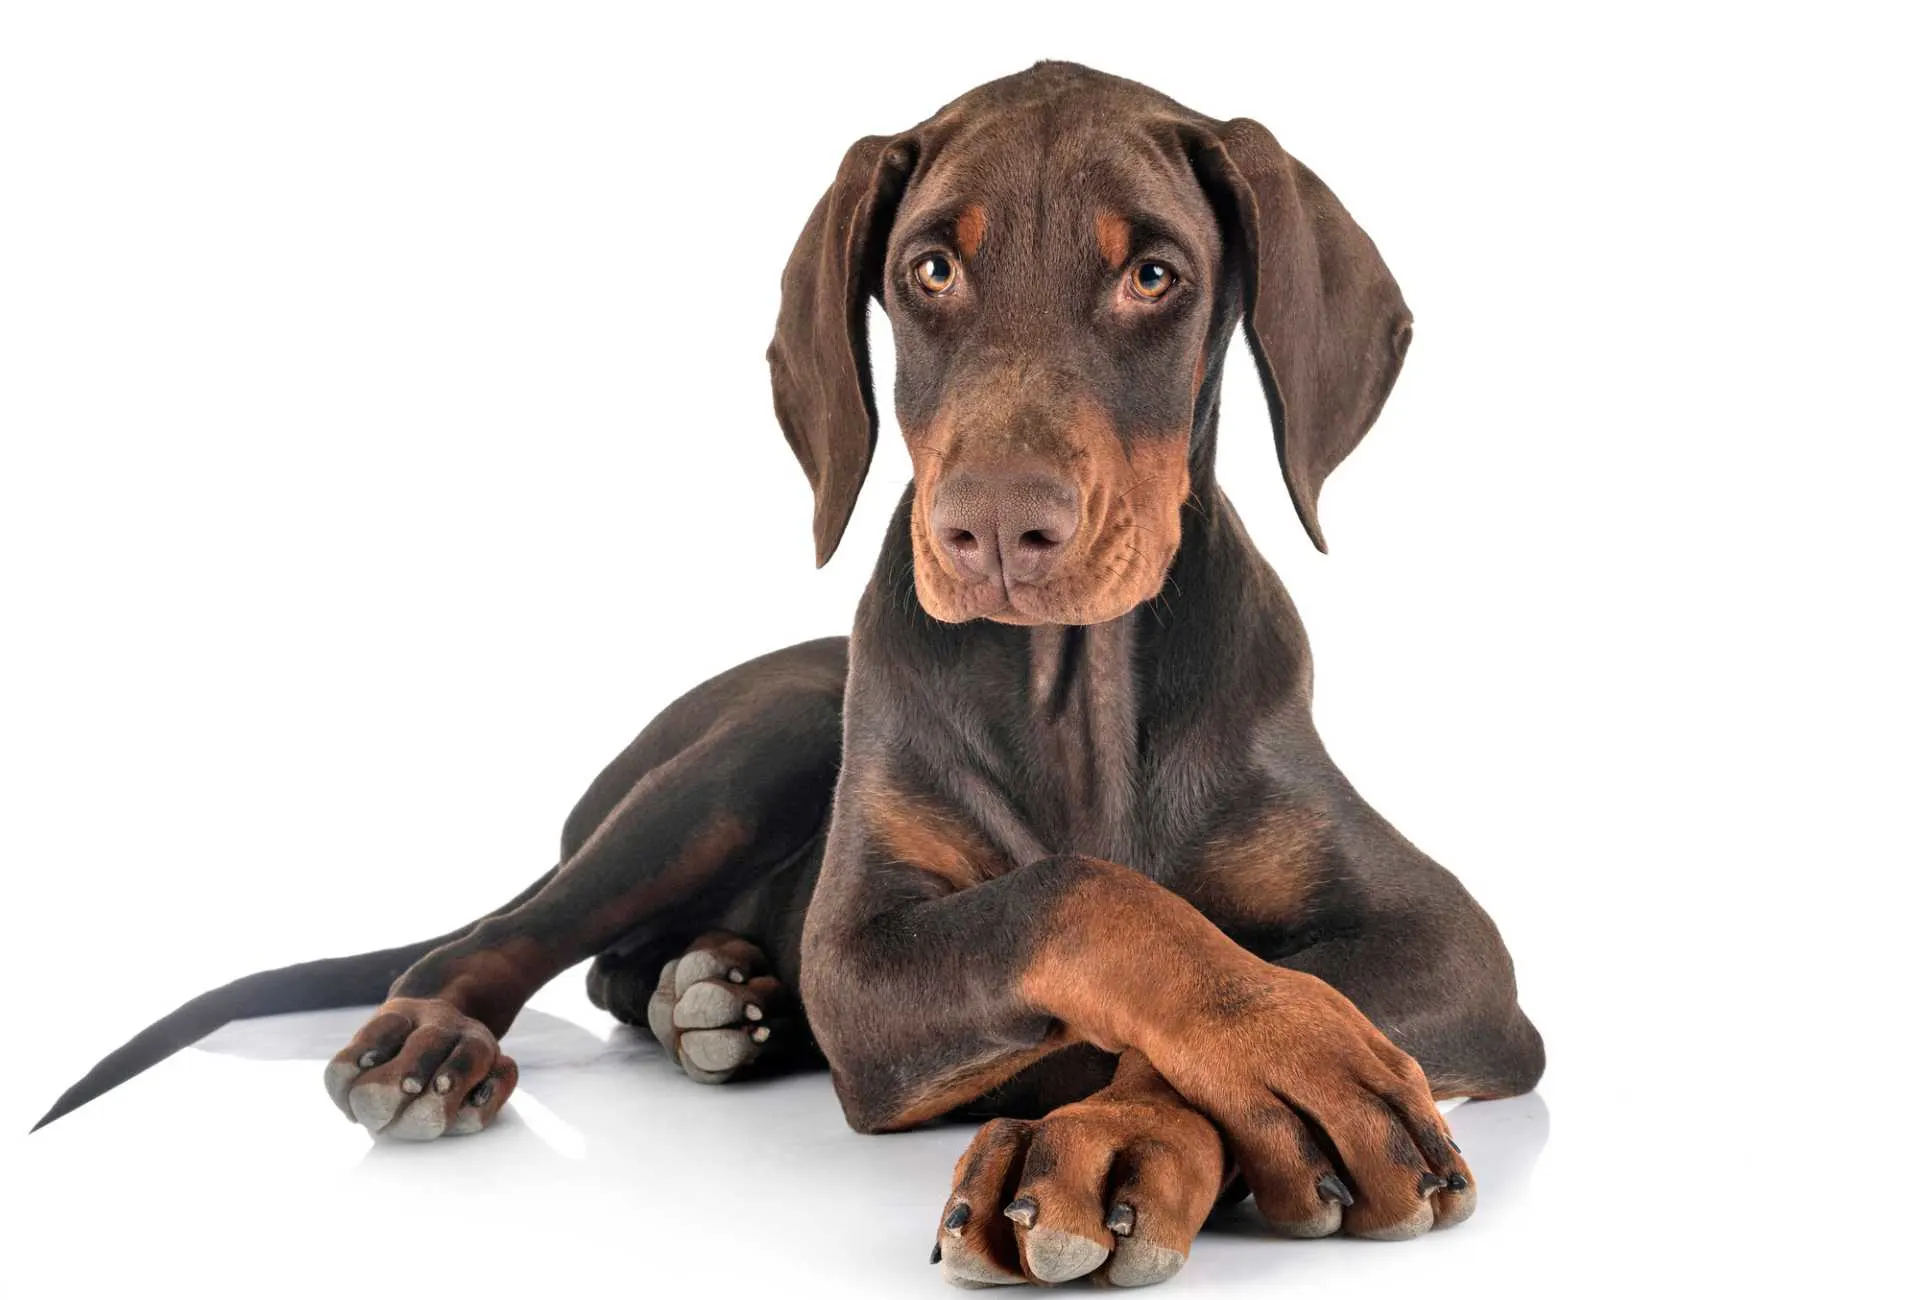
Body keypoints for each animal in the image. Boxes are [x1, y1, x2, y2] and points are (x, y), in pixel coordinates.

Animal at [41, 63, 1543, 1290]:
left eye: (1155, 276)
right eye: (931, 270)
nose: (997, 531)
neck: (1073, 694)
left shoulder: (1456, 944)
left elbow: (1259, 992)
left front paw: (1124, 1132)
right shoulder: (864, 960)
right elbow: (1079, 893)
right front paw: (1231, 1076)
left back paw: (718, 1002)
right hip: (744, 747)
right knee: (505, 936)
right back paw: (451, 1038)